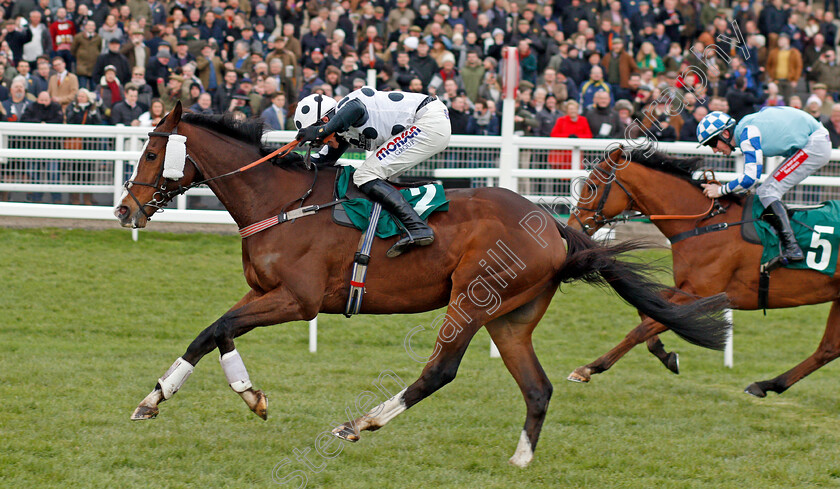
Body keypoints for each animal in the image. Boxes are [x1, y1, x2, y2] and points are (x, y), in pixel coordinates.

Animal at [111, 103, 728, 466]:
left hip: (471, 301)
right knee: (537, 388)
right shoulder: (264, 293)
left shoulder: (297, 300)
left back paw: (359, 424)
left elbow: (219, 327)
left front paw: (200, 397)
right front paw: (194, 398)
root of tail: (551, 224)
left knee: (440, 371)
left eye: (151, 150)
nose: (124, 210)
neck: (280, 200)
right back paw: (519, 461)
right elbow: (213, 331)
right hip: (510, 319)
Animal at [568, 146, 840, 396]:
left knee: (828, 348)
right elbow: (647, 312)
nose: (572, 226)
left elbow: (642, 328)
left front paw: (588, 368)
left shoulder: (700, 293)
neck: (705, 224)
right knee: (828, 349)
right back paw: (767, 385)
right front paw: (666, 355)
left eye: (592, 185)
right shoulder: (686, 288)